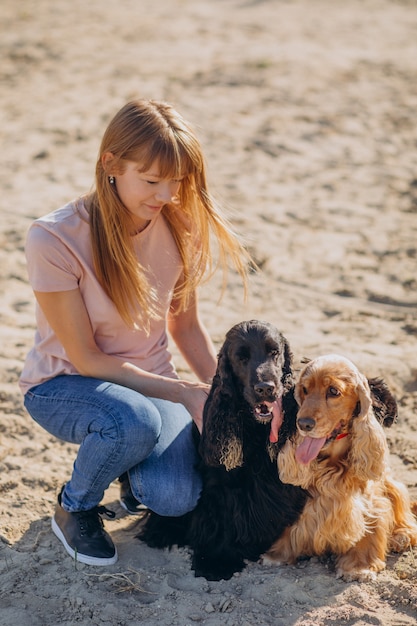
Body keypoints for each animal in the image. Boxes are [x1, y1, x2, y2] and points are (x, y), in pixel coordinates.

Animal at [138, 320, 308, 576]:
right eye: (241, 358)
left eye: (274, 352)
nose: (265, 388)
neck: (253, 426)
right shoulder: (219, 483)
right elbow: (220, 518)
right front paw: (214, 562)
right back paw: (161, 532)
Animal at [264, 354, 414, 576]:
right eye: (304, 389)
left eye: (333, 391)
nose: (303, 424)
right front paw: (277, 554)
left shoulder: (370, 501)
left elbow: (370, 525)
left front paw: (359, 566)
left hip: (392, 484)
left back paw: (402, 535)